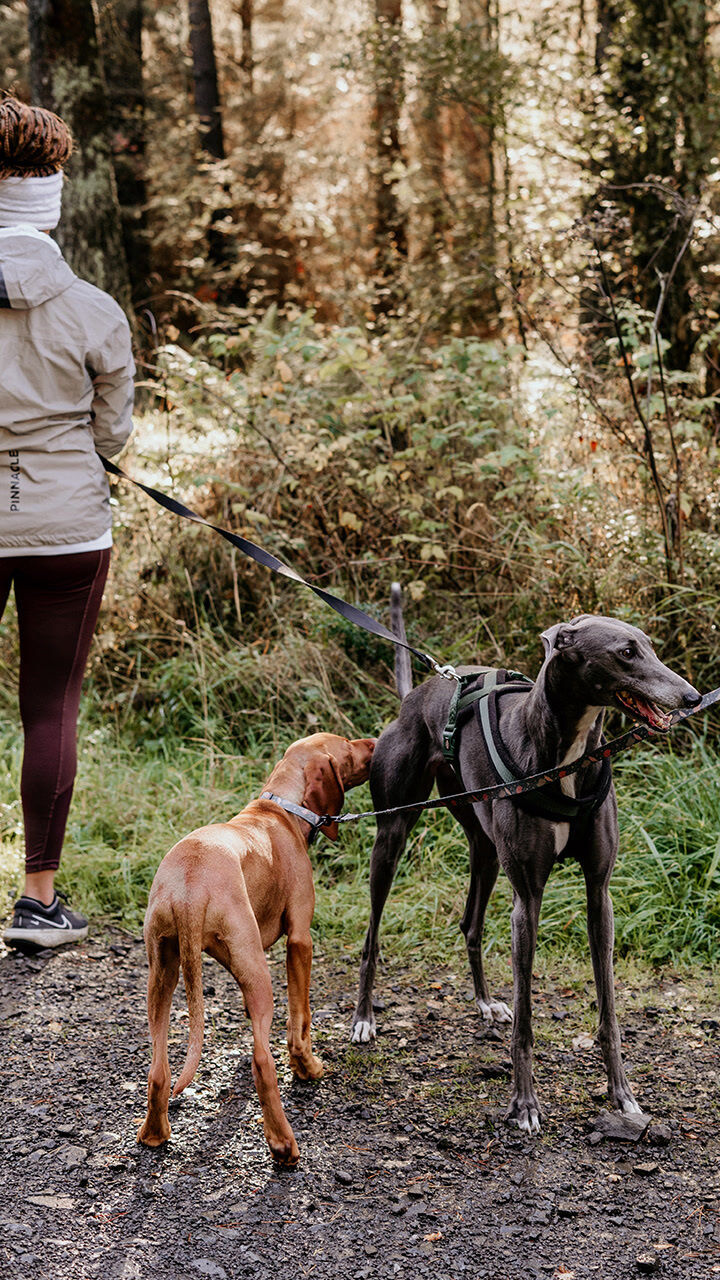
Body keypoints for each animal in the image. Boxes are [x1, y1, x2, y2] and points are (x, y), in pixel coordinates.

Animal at [135, 732, 371, 1162]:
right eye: (347, 747)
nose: (376, 742)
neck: (281, 807)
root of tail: (189, 888)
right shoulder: (300, 940)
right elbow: (301, 1019)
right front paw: (307, 1066)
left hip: (163, 972)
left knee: (158, 1069)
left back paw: (155, 1134)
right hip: (258, 972)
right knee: (263, 1061)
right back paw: (283, 1144)